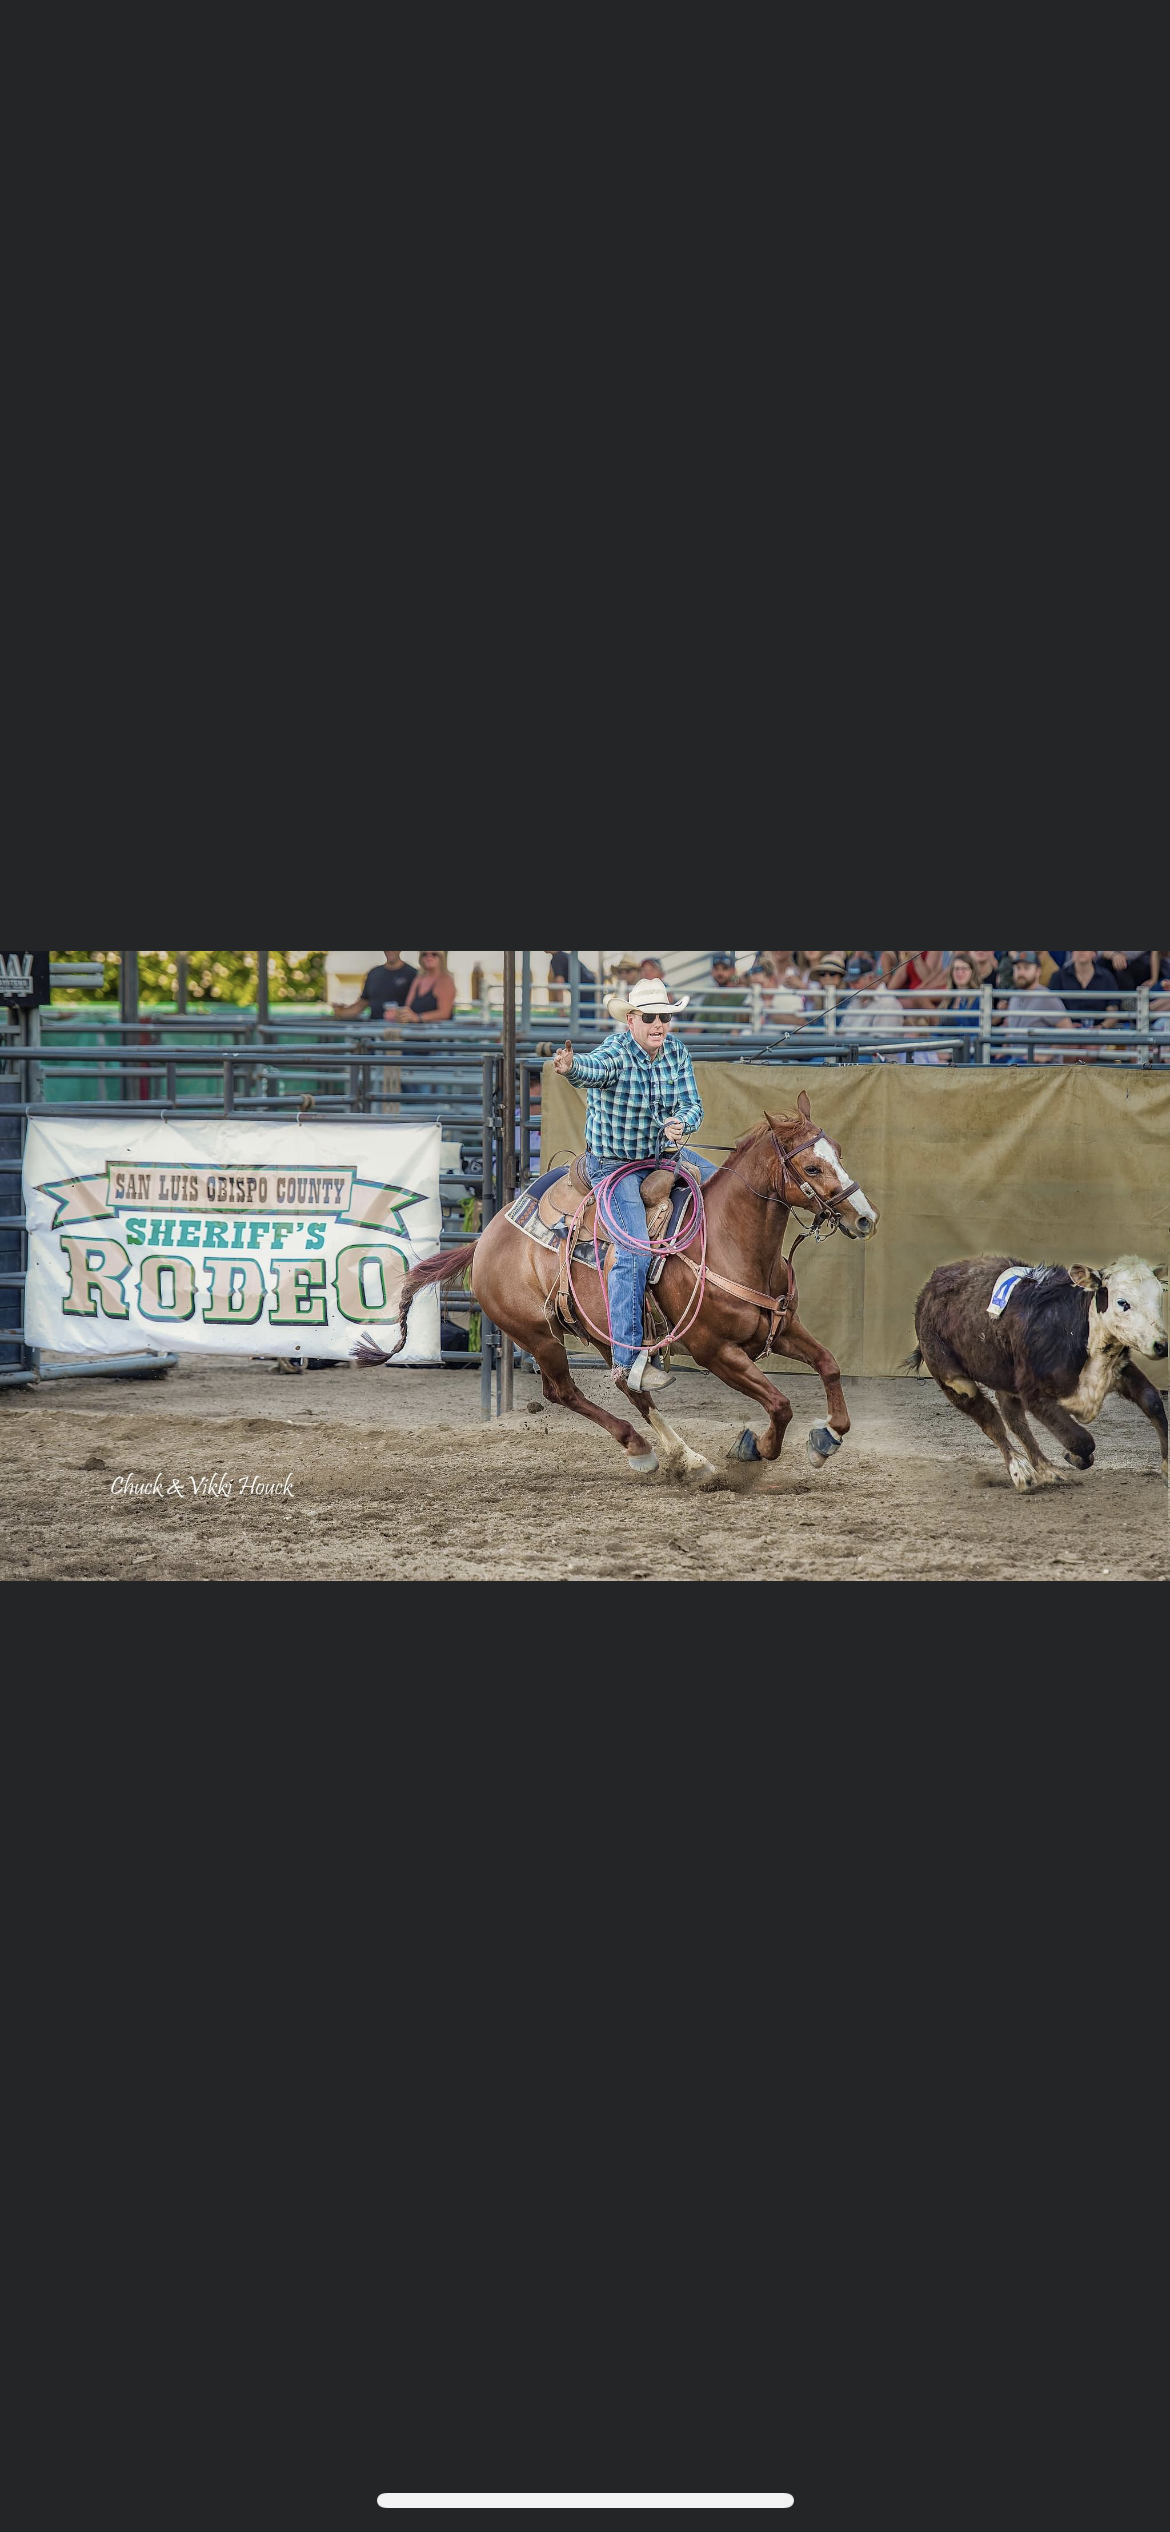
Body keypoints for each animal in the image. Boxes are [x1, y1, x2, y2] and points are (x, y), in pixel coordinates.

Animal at [381, 1090, 880, 1481]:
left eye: (838, 1151)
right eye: (812, 1168)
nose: (865, 1218)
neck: (728, 1242)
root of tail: (486, 1238)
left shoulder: (783, 1327)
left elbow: (830, 1365)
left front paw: (828, 1436)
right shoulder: (716, 1352)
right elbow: (780, 1404)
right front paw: (754, 1449)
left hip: (607, 1334)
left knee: (631, 1387)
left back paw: (688, 1458)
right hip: (538, 1336)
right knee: (563, 1392)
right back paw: (640, 1449)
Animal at [911, 1254, 1168, 1492]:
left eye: (1159, 1297)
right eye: (1122, 1302)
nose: (1161, 1345)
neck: (1076, 1328)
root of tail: (932, 1284)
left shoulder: (1118, 1370)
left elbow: (1152, 1401)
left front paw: (1166, 1470)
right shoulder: (1034, 1393)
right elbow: (1081, 1439)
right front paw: (1074, 1456)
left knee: (1013, 1417)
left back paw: (1046, 1470)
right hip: (953, 1379)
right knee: (991, 1420)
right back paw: (1022, 1471)